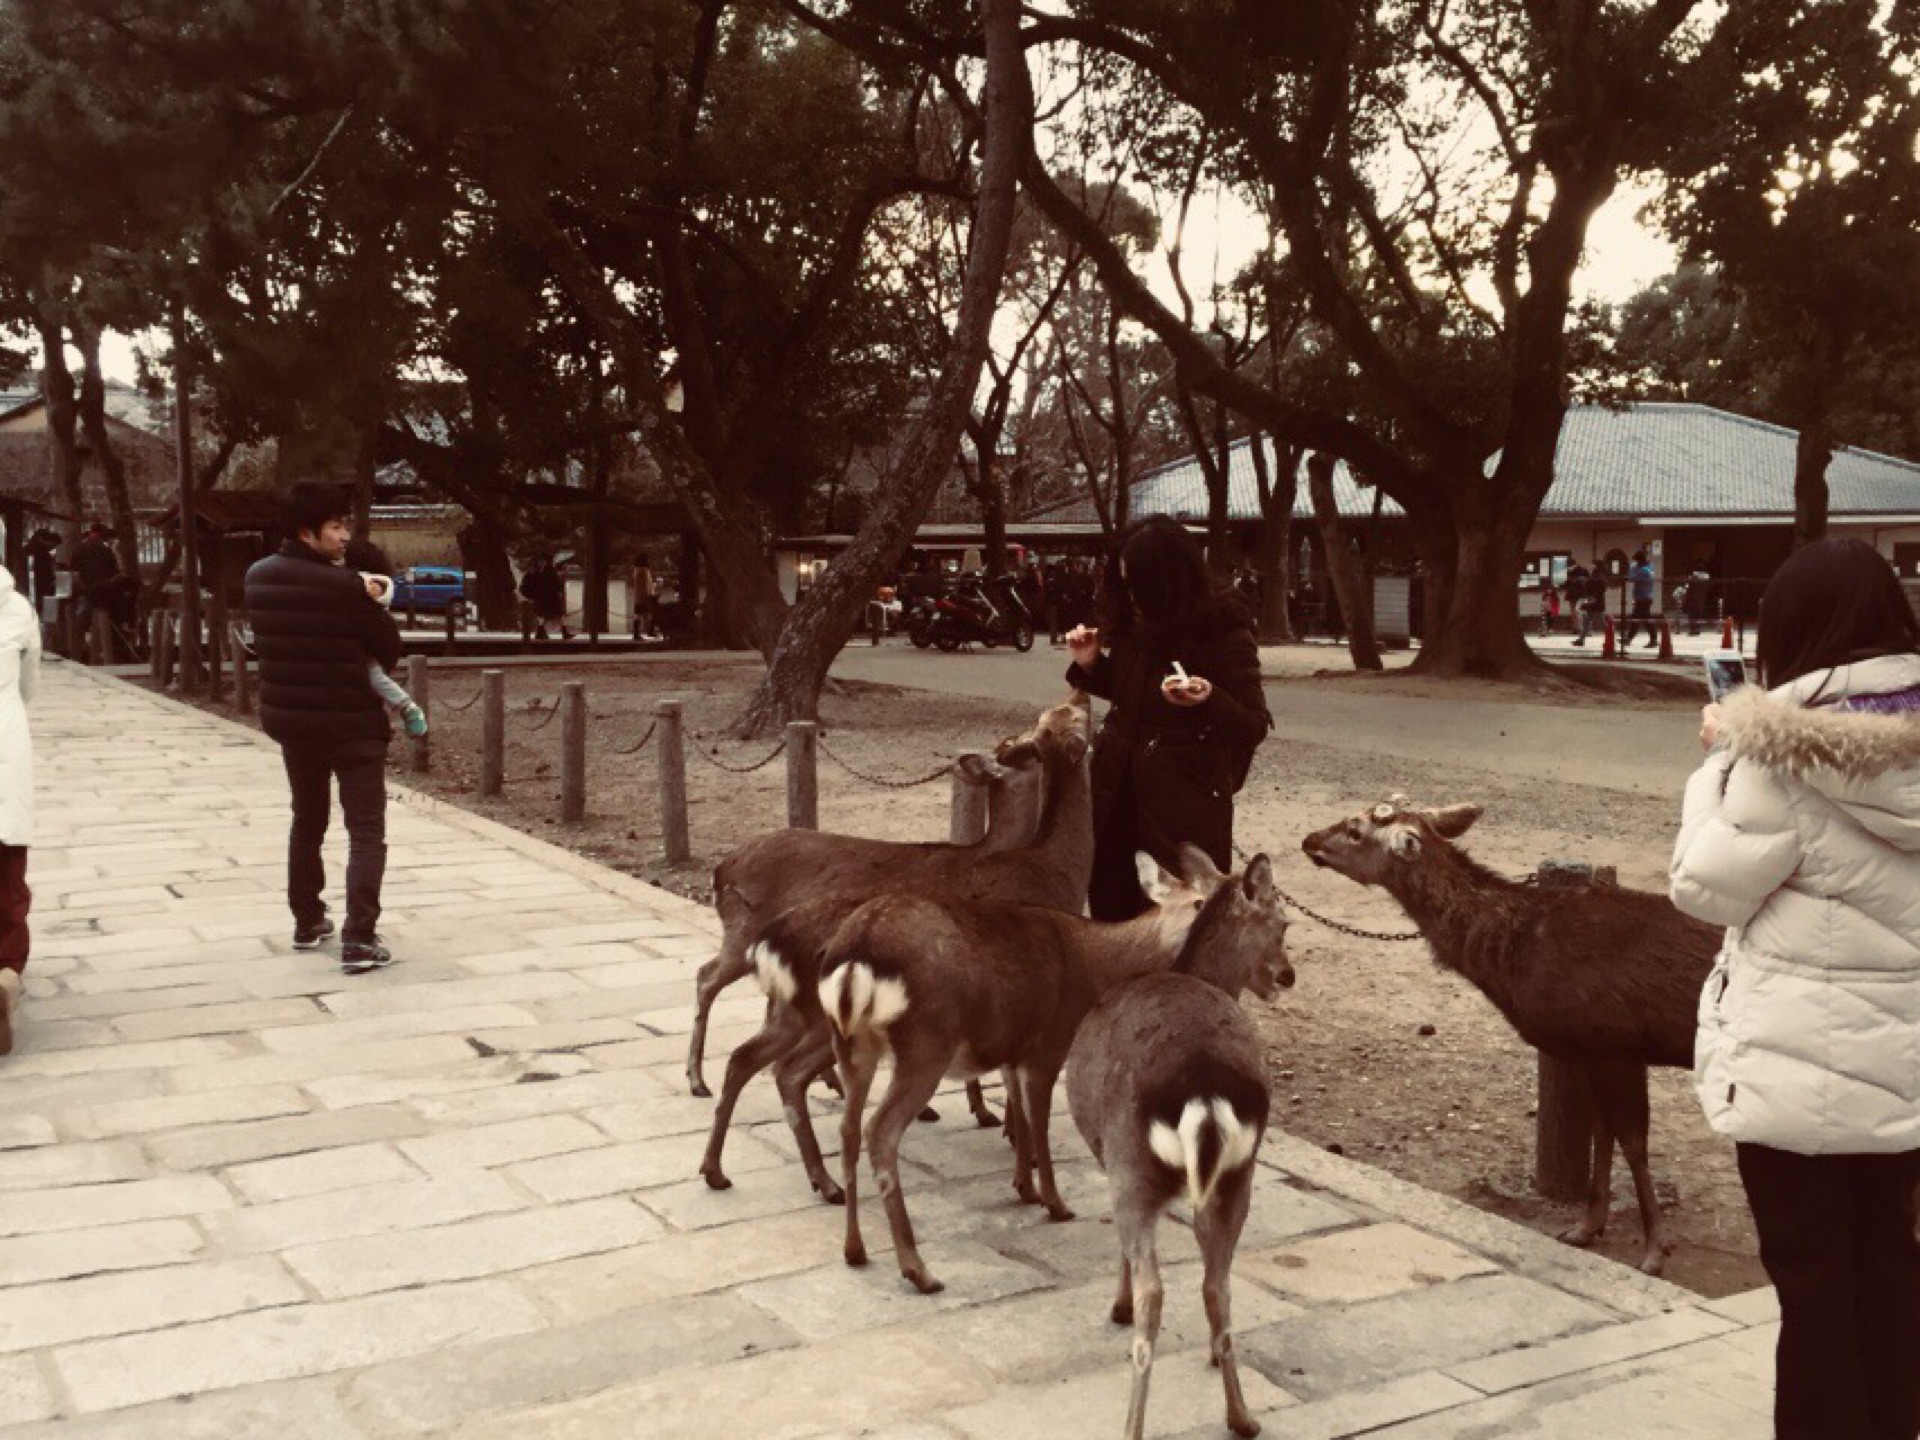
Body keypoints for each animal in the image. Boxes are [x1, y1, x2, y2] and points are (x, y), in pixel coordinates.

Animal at [810, 840, 1290, 1305]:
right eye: (1282, 923)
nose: (1286, 975)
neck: (1098, 966)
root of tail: (853, 959)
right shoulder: (1051, 1043)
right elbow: (1038, 1119)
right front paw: (1055, 1202)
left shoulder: (1016, 1049)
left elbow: (1020, 1114)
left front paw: (1024, 1186)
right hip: (925, 1046)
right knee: (880, 1131)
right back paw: (918, 1269)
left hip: (852, 1047)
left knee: (849, 1128)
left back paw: (855, 1248)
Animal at [1067, 852, 1290, 1440]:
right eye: (1285, 924)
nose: (1287, 974)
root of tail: (1202, 1090)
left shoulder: (1107, 1157)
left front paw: (1117, 1306)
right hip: (1238, 1176)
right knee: (1218, 1284)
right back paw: (1241, 1415)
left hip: (1133, 1166)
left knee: (1156, 1292)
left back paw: (1132, 1423)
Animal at [1297, 794, 1720, 1282]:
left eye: (1355, 831)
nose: (1309, 840)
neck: (1515, 956)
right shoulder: (1589, 1048)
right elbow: (1602, 1133)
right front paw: (1584, 1228)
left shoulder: (1618, 1043)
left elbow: (1633, 1141)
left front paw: (1653, 1250)